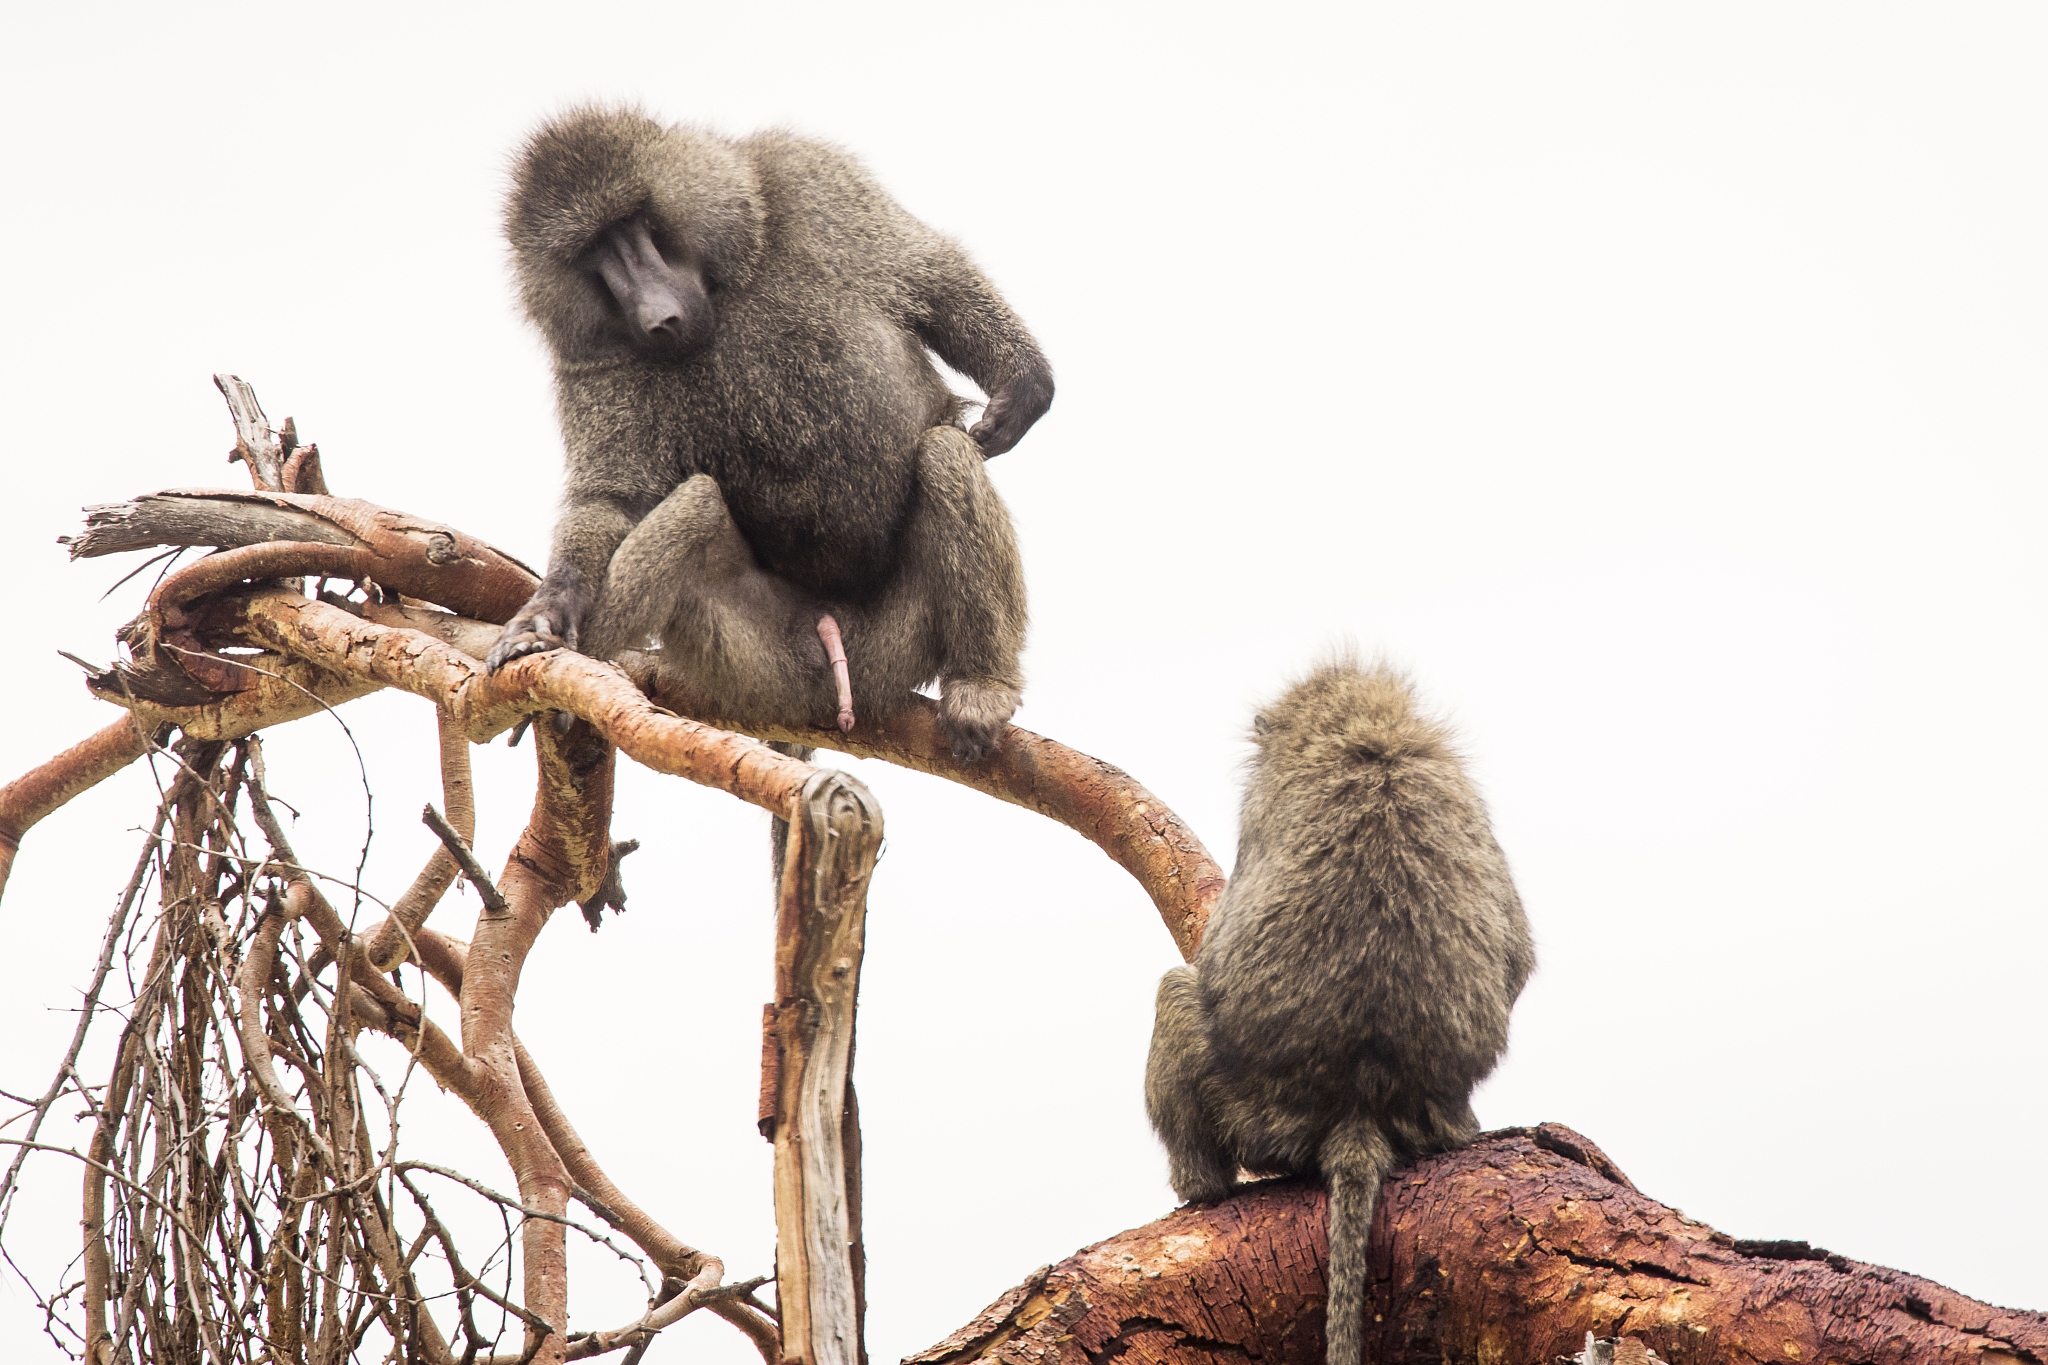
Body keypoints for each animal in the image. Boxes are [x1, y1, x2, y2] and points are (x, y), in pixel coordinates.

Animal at [483, 105, 1050, 764]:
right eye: (591, 253)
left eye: (636, 224)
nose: (659, 318)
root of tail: (829, 635)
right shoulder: (589, 362)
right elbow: (613, 499)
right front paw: (546, 613)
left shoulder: (808, 175)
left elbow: (933, 277)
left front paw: (1025, 387)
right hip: (754, 664)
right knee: (696, 505)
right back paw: (571, 682)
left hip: (900, 644)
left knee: (945, 453)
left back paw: (982, 686)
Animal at [1144, 659, 1534, 1365]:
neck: (1373, 738)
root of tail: (1358, 1105)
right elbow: (1518, 953)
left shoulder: (1263, 805)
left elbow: (1213, 960)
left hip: (1249, 1111)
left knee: (1177, 995)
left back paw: (1201, 1188)